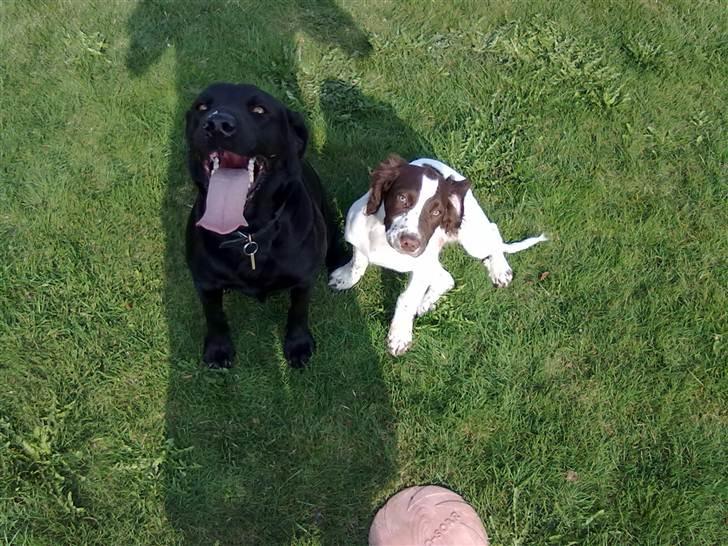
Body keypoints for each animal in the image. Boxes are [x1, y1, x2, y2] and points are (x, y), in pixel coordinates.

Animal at [185, 83, 344, 368]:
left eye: (259, 110)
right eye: (201, 107)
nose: (217, 124)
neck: (250, 235)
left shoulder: (304, 279)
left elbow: (298, 311)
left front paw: (298, 345)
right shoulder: (205, 282)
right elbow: (214, 316)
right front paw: (218, 349)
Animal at [330, 155, 544, 354]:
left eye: (436, 212)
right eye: (402, 198)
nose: (410, 243)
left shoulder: (420, 268)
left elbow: (406, 300)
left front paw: (399, 336)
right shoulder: (358, 238)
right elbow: (358, 263)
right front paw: (345, 278)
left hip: (471, 240)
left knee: (493, 232)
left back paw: (500, 270)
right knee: (447, 278)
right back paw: (426, 303)